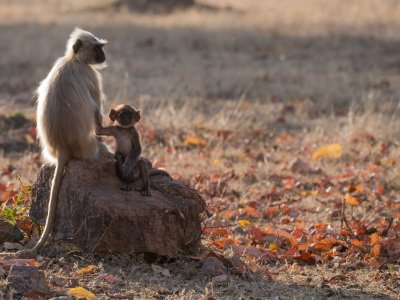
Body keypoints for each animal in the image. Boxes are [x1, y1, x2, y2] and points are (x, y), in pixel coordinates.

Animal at [18, 29, 107, 256]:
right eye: (97, 48)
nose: (103, 56)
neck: (73, 59)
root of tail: (62, 148)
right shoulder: (91, 75)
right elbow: (97, 117)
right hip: (88, 148)